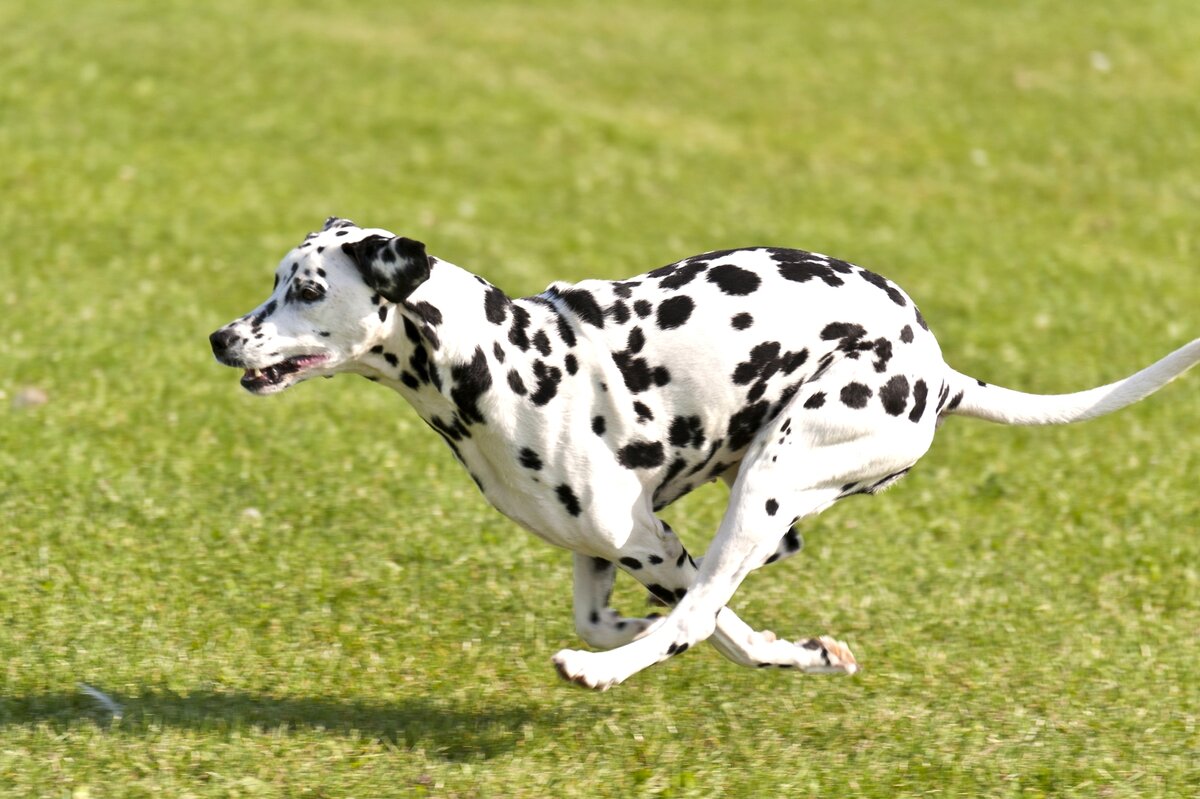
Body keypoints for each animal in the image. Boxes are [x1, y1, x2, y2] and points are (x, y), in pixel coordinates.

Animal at [208, 215, 1200, 686]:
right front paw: (784, 645)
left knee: (698, 614)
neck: (497, 360)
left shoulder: (647, 538)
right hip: (766, 492)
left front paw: (754, 648)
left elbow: (707, 624)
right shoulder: (605, 547)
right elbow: (617, 614)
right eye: (276, 281)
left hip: (767, 481)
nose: (221, 338)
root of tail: (939, 368)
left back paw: (603, 674)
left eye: (306, 290)